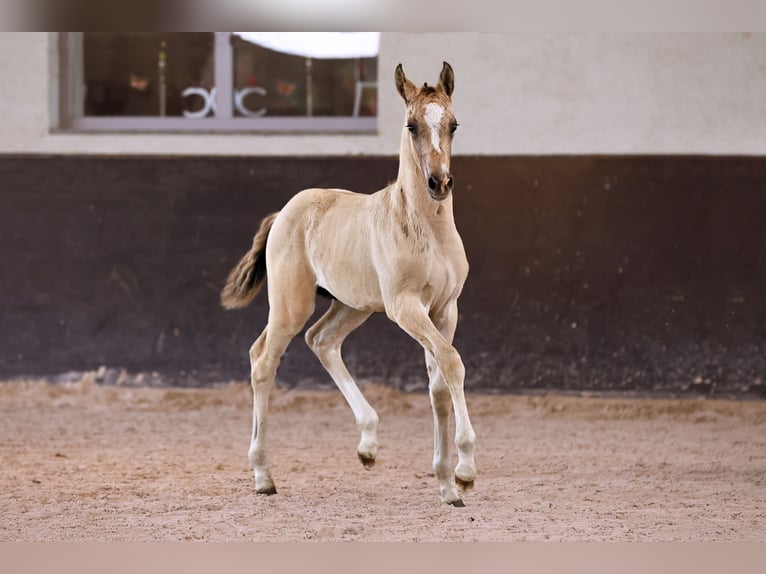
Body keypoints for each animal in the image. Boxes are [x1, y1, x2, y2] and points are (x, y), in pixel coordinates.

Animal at [219, 60, 476, 506]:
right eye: (411, 125)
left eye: (454, 124)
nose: (439, 183)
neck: (428, 229)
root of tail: (284, 212)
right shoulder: (405, 307)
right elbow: (452, 362)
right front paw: (464, 471)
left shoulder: (445, 309)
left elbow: (440, 384)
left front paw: (447, 484)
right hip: (292, 304)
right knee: (263, 359)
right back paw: (263, 475)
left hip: (352, 305)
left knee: (321, 340)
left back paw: (368, 445)